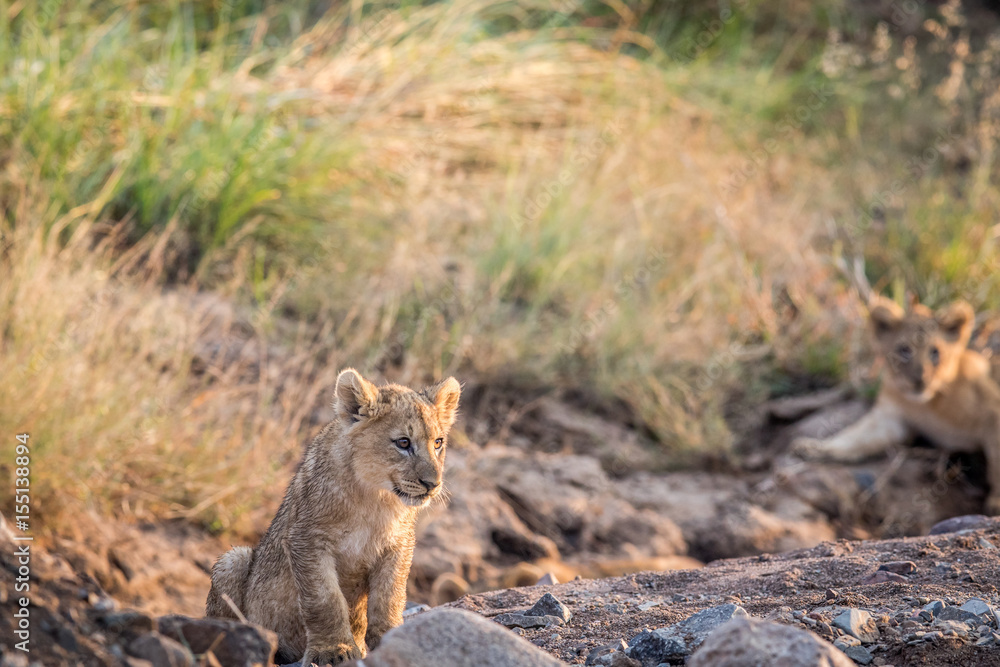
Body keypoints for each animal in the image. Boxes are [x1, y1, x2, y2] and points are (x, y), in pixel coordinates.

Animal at [206, 368, 461, 666]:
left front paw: (393, 638)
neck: (375, 498)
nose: (433, 484)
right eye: (403, 442)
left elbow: (390, 597)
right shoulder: (307, 539)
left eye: (438, 443)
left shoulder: (398, 546)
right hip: (233, 558)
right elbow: (324, 600)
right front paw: (333, 649)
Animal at [793, 298, 1000, 515]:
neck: (926, 405)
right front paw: (814, 448)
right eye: (904, 350)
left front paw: (996, 502)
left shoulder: (993, 410)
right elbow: (856, 438)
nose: (920, 379)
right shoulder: (890, 418)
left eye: (935, 352)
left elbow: (997, 460)